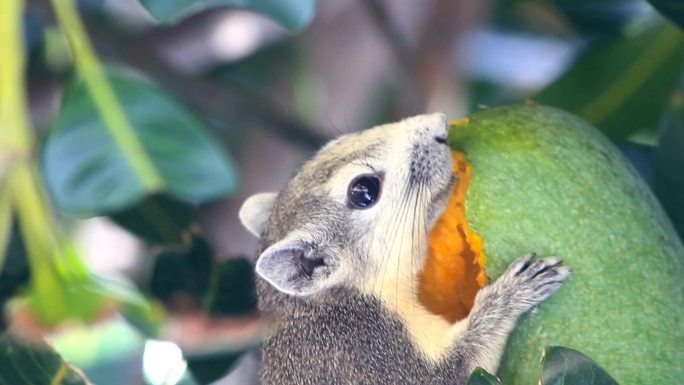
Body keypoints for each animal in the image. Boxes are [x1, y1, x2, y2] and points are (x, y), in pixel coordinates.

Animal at [238, 113, 568, 384]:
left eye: (332, 143)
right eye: (363, 190)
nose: (440, 127)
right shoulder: (372, 355)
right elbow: (453, 370)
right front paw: (510, 294)